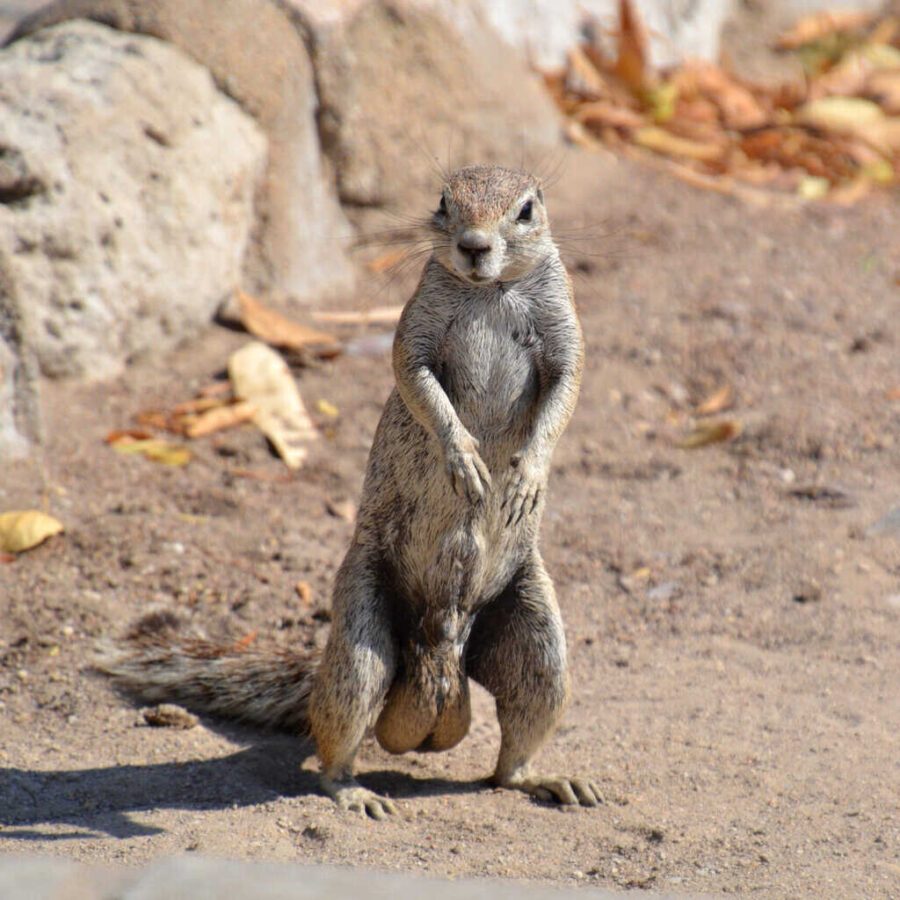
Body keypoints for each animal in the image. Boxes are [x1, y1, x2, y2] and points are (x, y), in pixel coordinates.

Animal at [100, 165, 596, 820]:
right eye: (443, 202)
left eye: (526, 210)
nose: (473, 246)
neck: (489, 292)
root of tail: (437, 653)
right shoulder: (415, 329)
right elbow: (417, 382)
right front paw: (462, 457)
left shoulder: (564, 333)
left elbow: (565, 391)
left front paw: (528, 475)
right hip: (363, 626)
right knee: (338, 733)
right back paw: (354, 790)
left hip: (538, 644)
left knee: (513, 748)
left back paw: (543, 779)